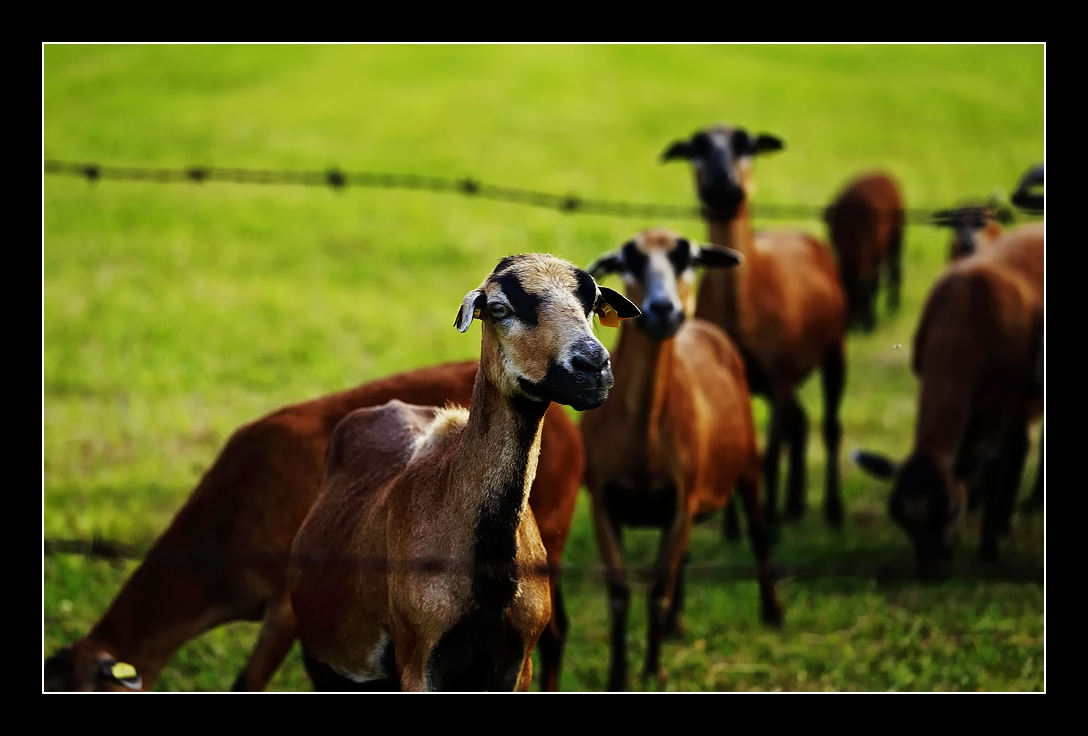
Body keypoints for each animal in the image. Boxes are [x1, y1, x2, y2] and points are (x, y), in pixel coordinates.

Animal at [285, 252, 639, 688]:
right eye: (500, 308)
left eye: (592, 304)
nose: (592, 366)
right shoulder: (419, 661)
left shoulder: (518, 662)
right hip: (324, 657)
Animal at [661, 125, 848, 535]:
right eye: (694, 149)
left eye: (746, 145)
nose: (722, 181)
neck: (741, 311)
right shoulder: (747, 378)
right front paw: (733, 530)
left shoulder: (779, 376)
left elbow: (769, 454)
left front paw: (769, 525)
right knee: (801, 422)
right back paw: (793, 506)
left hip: (833, 350)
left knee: (829, 425)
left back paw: (829, 511)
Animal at [826, 169, 905, 330]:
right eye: (847, 297)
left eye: (870, 295)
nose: (864, 327)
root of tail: (880, 172)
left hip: (896, 233)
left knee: (895, 269)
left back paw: (894, 307)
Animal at [852, 224, 1040, 574]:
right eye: (898, 516)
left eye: (951, 509)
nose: (932, 569)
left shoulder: (1005, 396)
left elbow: (994, 464)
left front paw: (988, 549)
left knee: (1015, 448)